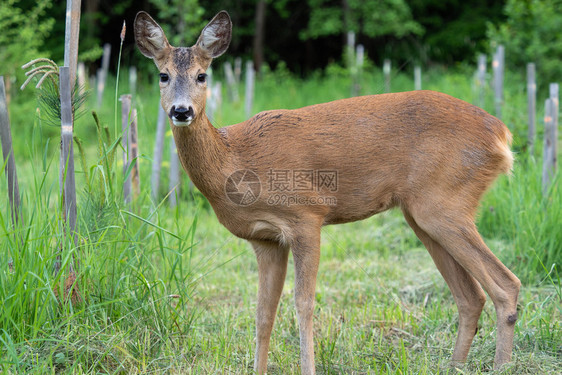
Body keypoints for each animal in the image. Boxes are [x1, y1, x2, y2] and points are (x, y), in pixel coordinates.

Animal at [133, 10, 520, 375]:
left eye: (202, 76)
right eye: (163, 75)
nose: (181, 110)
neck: (235, 159)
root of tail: (501, 134)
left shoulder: (306, 216)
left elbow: (303, 304)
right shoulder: (265, 239)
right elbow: (263, 313)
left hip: (444, 203)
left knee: (506, 286)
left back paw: (500, 365)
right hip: (421, 214)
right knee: (470, 297)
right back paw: (455, 366)